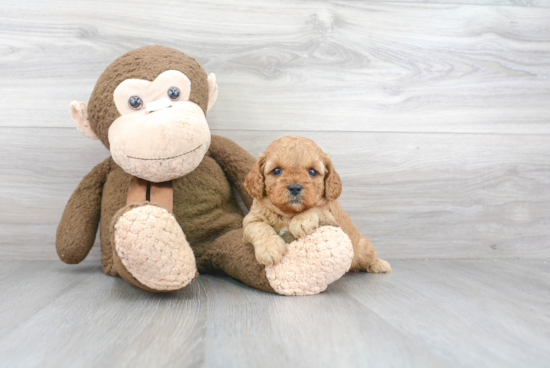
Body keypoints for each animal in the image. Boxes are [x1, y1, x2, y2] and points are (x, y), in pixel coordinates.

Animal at [245, 136, 392, 274]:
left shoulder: (331, 216)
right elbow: (258, 227)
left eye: (312, 172)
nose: (295, 188)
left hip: (363, 248)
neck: (289, 213)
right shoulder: (251, 219)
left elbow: (318, 208)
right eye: (276, 171)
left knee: (370, 259)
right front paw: (269, 249)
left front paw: (301, 221)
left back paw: (380, 265)